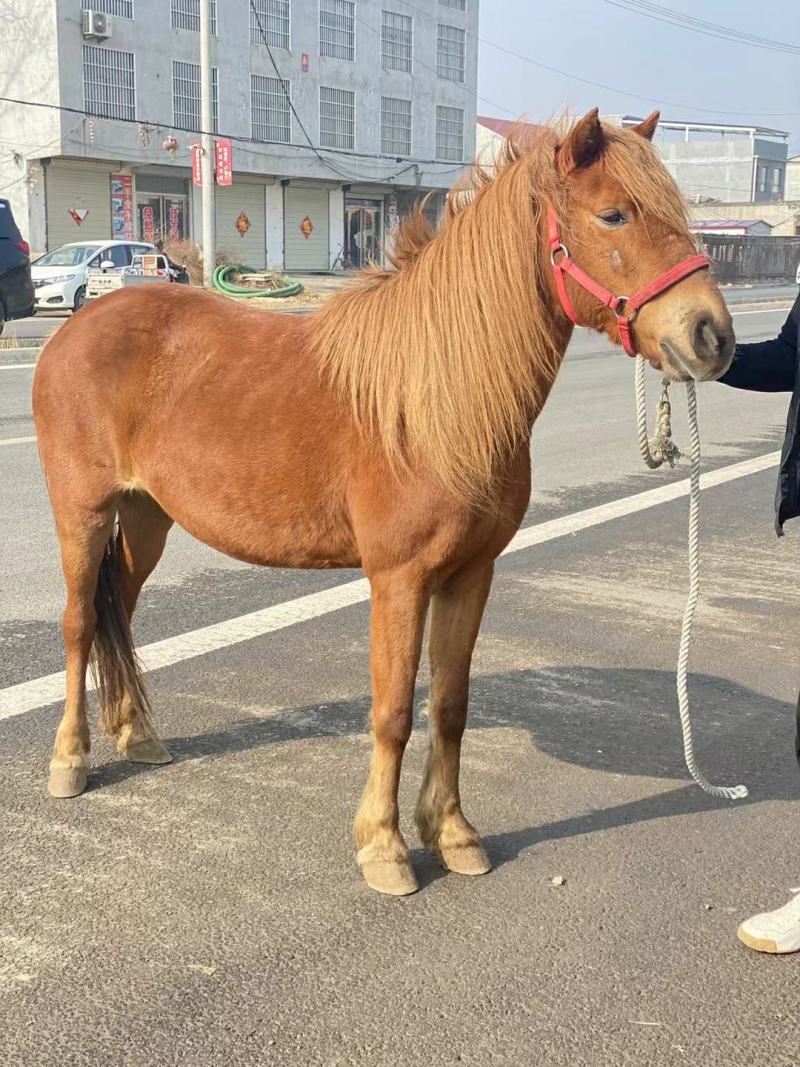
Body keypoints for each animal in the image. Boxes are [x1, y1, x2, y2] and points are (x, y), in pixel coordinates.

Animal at [32, 110, 733, 892]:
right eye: (614, 214)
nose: (712, 335)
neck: (434, 401)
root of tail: (74, 329)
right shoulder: (399, 579)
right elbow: (394, 709)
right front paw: (386, 846)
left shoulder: (471, 573)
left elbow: (450, 704)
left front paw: (453, 833)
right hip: (83, 511)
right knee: (78, 624)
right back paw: (70, 759)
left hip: (148, 517)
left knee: (117, 608)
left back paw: (136, 733)